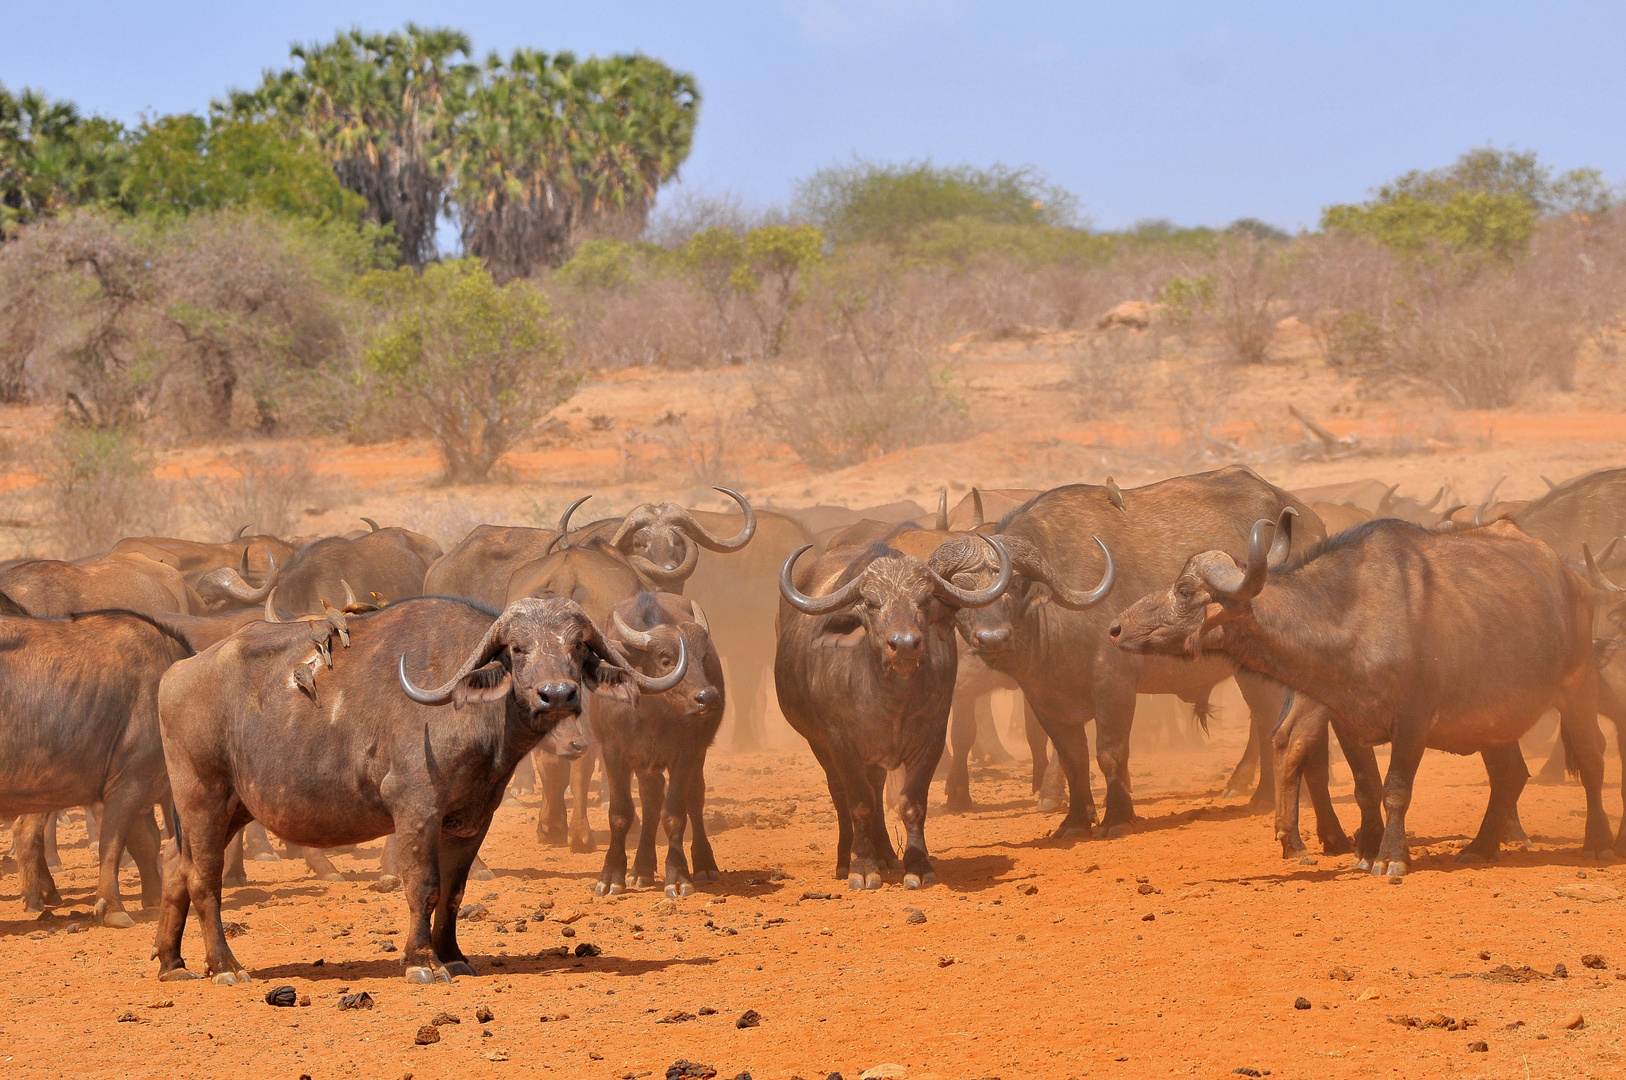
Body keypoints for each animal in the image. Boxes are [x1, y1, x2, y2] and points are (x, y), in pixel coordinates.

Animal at [155, 595, 682, 982]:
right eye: (517, 649)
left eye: (577, 647)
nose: (557, 695)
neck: (470, 712)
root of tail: (175, 674)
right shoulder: (416, 810)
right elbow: (424, 886)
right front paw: (421, 961)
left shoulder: (471, 820)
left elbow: (453, 891)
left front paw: (453, 956)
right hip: (203, 800)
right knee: (203, 878)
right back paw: (225, 965)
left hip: (234, 809)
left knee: (175, 867)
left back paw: (171, 962)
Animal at [936, 468, 1326, 839]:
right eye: (959, 590)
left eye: (1015, 584)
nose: (992, 638)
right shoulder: (1042, 698)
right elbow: (1072, 758)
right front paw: (1075, 822)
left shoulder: (1115, 685)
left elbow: (1110, 753)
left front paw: (1119, 818)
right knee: (1265, 719)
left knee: (1268, 718)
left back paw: (1264, 795)